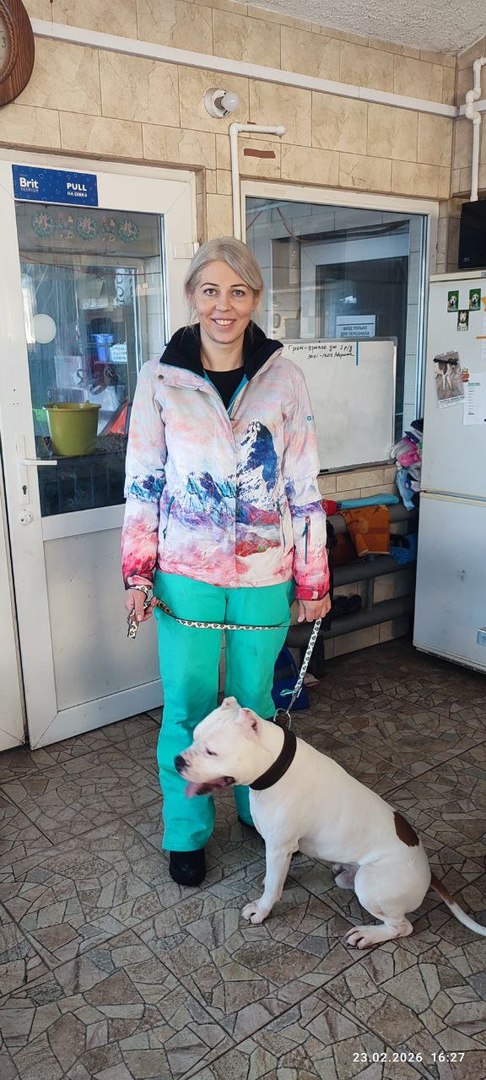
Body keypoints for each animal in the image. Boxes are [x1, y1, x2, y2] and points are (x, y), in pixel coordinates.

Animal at [175, 697, 486, 949]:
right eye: (193, 735)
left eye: (212, 751)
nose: (177, 761)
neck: (274, 767)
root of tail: (428, 873)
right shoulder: (279, 849)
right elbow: (275, 876)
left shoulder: (279, 846)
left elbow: (273, 886)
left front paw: (262, 909)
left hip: (372, 883)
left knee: (402, 926)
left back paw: (367, 934)